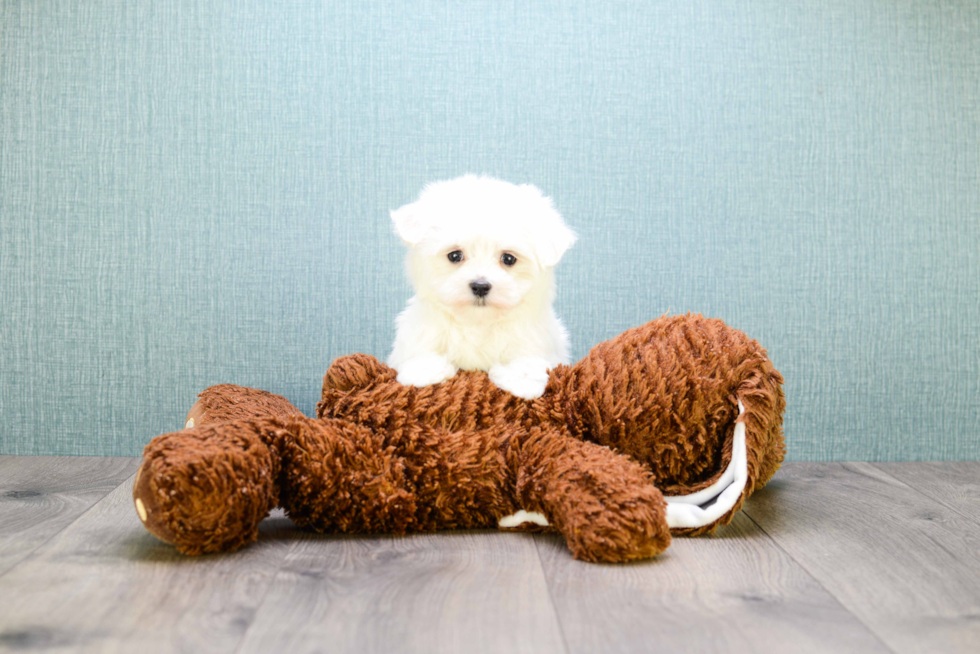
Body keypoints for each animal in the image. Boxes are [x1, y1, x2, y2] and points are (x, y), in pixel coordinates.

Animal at [388, 176, 580, 400]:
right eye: (455, 255)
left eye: (508, 258)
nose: (480, 286)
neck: (478, 323)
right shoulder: (418, 331)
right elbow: (421, 349)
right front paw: (423, 371)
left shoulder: (539, 340)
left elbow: (527, 357)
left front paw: (522, 380)